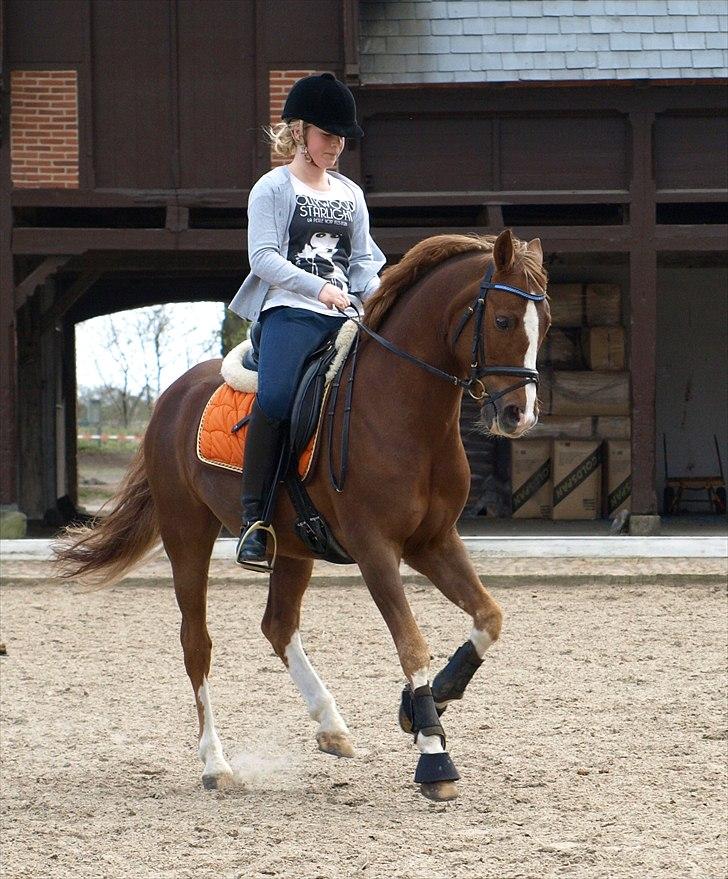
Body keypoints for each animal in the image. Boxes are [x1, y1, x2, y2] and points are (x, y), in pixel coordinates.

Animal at [55, 228, 550, 802]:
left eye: (546, 323)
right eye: (503, 321)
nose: (519, 416)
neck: (405, 412)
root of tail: (171, 397)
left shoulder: (434, 541)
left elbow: (489, 617)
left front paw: (426, 704)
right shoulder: (375, 549)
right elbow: (411, 645)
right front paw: (434, 759)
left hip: (292, 546)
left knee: (277, 625)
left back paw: (331, 727)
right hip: (187, 535)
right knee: (196, 643)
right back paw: (216, 763)